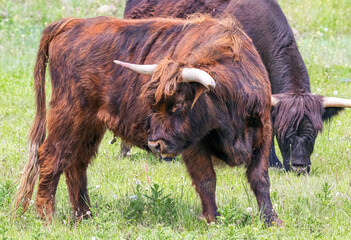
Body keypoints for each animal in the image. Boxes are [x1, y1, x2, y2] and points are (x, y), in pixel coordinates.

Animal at [16, 15, 286, 226]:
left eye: (178, 105)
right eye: (153, 105)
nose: (155, 144)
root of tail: (70, 23)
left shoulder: (263, 132)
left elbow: (260, 179)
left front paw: (271, 220)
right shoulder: (194, 145)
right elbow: (207, 180)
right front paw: (213, 220)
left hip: (90, 123)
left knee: (76, 163)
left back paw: (85, 216)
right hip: (69, 112)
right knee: (52, 155)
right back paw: (47, 218)